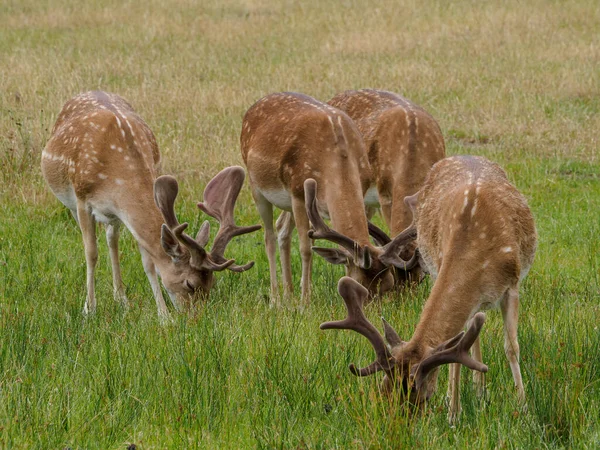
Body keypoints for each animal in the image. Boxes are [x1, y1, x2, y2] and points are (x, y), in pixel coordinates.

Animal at [41, 90, 258, 316]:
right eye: (190, 284)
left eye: (211, 285)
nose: (196, 318)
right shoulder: (83, 200)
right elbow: (91, 253)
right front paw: (89, 309)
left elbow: (149, 263)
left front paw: (163, 314)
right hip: (72, 202)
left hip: (114, 216)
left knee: (112, 239)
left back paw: (121, 297)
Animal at [239, 93, 418, 308]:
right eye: (361, 285)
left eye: (388, 285)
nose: (373, 309)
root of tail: (253, 107)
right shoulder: (298, 192)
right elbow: (306, 249)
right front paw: (305, 303)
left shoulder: (362, 186)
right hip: (256, 185)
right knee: (269, 237)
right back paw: (276, 300)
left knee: (282, 229)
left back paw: (289, 294)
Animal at [322, 156, 536, 420]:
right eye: (384, 388)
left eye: (417, 392)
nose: (397, 422)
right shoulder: (442, 269)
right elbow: (457, 353)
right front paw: (453, 412)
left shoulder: (512, 286)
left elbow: (512, 347)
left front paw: (523, 407)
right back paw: (477, 390)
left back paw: (480, 391)